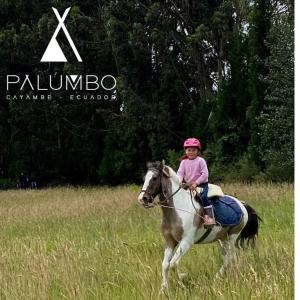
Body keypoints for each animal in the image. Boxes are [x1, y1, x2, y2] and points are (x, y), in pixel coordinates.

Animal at [138, 161, 260, 292]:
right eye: (145, 178)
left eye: (155, 178)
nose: (142, 199)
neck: (178, 210)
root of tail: (241, 204)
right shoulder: (170, 241)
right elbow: (165, 265)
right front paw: (163, 290)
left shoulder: (186, 242)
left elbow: (173, 264)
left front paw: (182, 280)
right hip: (222, 239)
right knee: (227, 258)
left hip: (232, 237)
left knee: (229, 258)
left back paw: (217, 278)